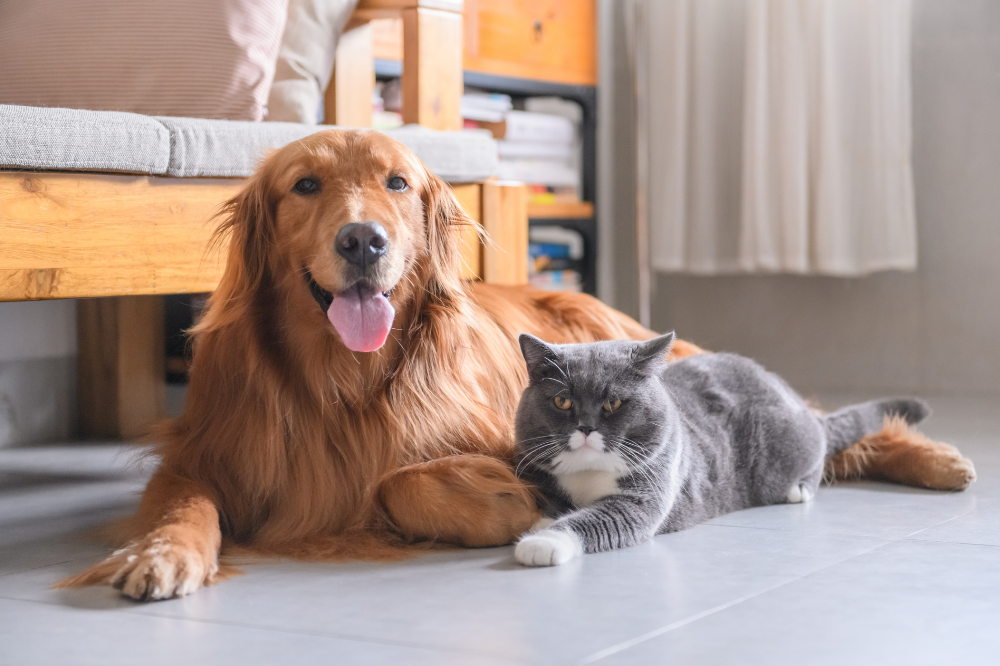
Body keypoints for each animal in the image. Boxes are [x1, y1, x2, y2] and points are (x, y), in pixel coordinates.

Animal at [516, 332, 928, 564]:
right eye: (563, 402)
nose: (585, 427)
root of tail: (791, 395)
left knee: (819, 447)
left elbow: (594, 520)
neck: (588, 474)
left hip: (786, 447)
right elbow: (555, 503)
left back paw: (798, 489)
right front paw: (544, 520)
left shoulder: (643, 498)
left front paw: (540, 543)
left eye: (613, 403)